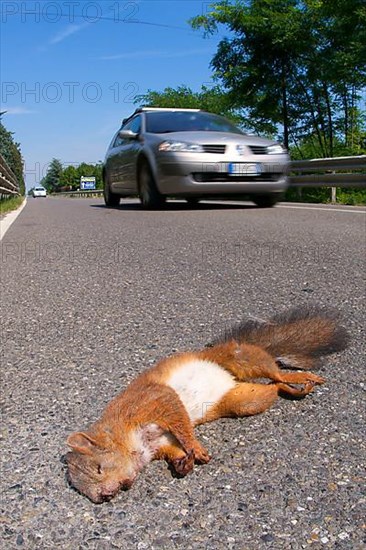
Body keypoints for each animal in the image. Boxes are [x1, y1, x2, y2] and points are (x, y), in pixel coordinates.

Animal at [66, 306, 348, 504]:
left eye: (99, 468)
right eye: (84, 491)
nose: (103, 497)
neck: (129, 436)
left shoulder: (149, 402)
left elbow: (178, 419)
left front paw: (195, 448)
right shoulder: (163, 443)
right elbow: (175, 448)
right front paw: (184, 463)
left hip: (242, 358)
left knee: (276, 373)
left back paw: (300, 378)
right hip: (246, 400)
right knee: (272, 388)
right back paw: (291, 390)